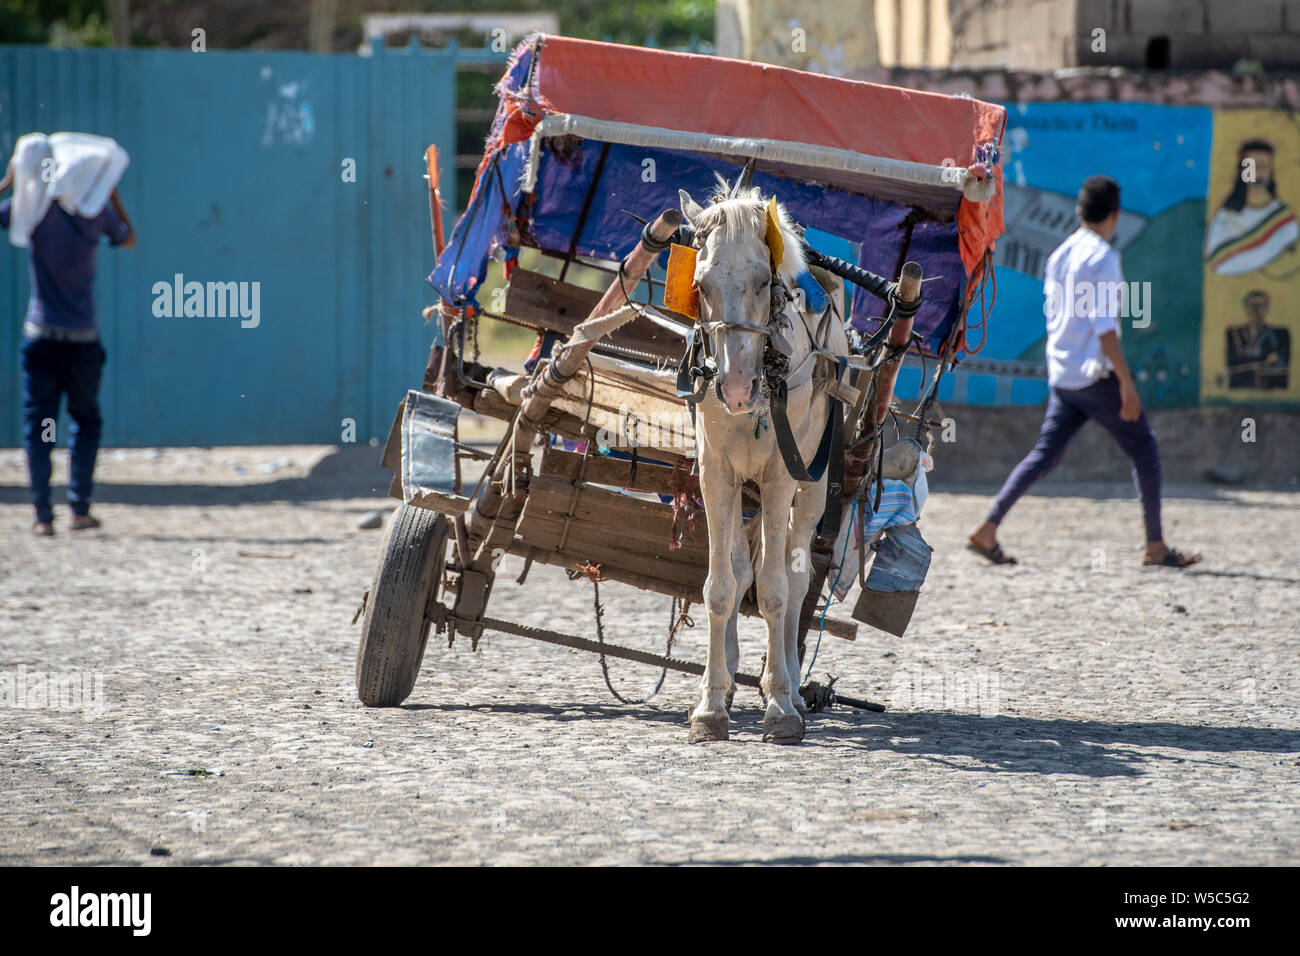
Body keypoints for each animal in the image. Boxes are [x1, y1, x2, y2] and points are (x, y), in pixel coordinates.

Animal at [681, 183, 852, 743]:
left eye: (762, 280)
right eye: (701, 284)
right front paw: (711, 703)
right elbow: (720, 587)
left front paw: (779, 705)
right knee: (739, 570)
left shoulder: (780, 477)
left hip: (813, 483)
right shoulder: (716, 472)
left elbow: (777, 589)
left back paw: (793, 688)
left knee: (796, 577)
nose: (735, 388)